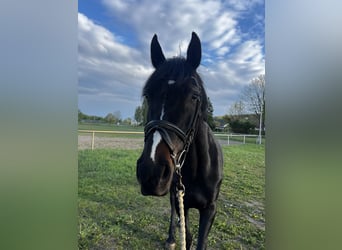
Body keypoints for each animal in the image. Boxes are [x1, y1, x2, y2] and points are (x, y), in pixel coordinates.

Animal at [136, 32, 224, 249]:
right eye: (148, 95)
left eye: (194, 96)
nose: (151, 172)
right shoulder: (180, 201)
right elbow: (188, 235)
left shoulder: (210, 210)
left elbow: (200, 242)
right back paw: (170, 239)